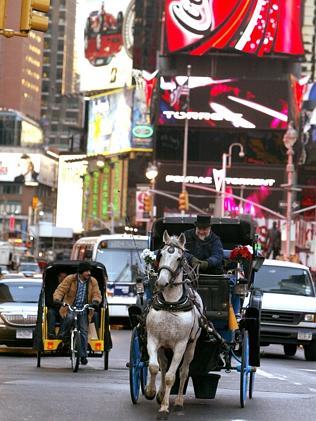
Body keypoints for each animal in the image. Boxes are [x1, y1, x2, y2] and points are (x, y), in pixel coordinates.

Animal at [145, 231, 202, 418]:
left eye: (178, 258)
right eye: (160, 254)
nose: (161, 282)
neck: (170, 303)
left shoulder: (180, 345)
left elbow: (172, 376)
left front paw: (164, 408)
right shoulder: (153, 339)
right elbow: (154, 367)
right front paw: (151, 392)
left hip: (192, 345)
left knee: (184, 371)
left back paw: (178, 402)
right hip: (163, 346)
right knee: (162, 366)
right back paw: (161, 392)